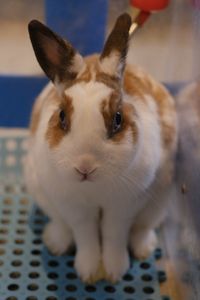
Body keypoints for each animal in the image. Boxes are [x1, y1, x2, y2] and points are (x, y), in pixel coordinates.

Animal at [24, 12, 177, 282]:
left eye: (118, 118)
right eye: (61, 116)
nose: (85, 167)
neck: (93, 188)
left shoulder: (122, 206)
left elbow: (114, 234)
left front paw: (115, 270)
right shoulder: (73, 206)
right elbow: (85, 235)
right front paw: (88, 270)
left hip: (160, 201)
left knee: (142, 229)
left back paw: (143, 249)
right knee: (63, 227)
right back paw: (56, 243)